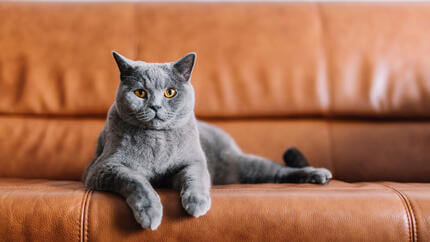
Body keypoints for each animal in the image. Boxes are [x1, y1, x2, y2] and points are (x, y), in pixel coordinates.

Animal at [84, 51, 332, 231]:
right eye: (140, 93)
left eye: (170, 92)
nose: (155, 106)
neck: (157, 140)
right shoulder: (105, 167)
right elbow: (136, 181)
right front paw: (150, 214)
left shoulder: (193, 161)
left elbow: (195, 177)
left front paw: (196, 203)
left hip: (244, 164)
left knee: (278, 170)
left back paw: (319, 174)